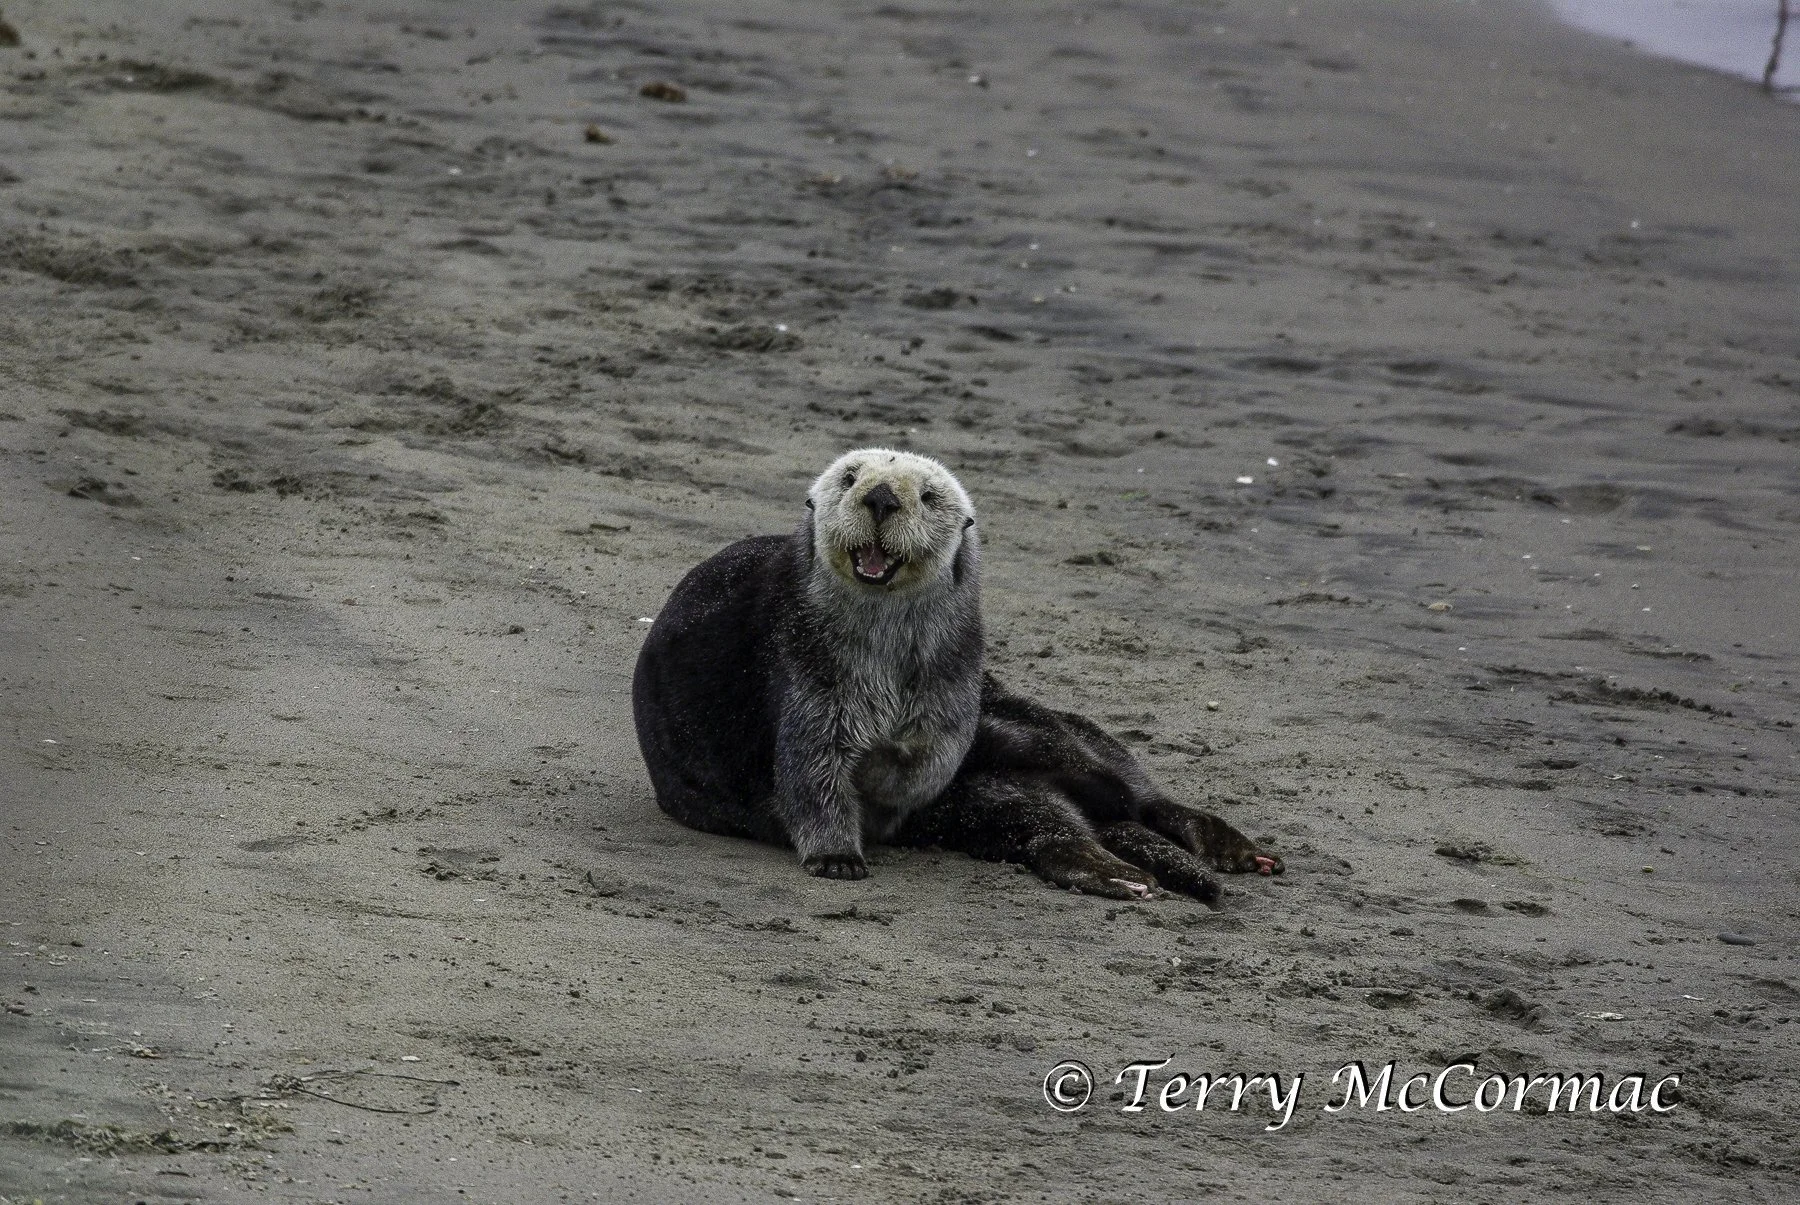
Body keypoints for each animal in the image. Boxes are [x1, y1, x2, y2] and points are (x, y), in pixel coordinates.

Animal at [631, 448, 1280, 899]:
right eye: (850, 479)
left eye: (928, 496)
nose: (882, 498)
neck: (886, 643)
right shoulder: (804, 669)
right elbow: (812, 763)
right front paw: (838, 856)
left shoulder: (958, 669)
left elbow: (939, 736)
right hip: (981, 809)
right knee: (1051, 831)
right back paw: (1120, 874)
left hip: (1041, 730)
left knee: (1133, 793)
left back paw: (1226, 846)